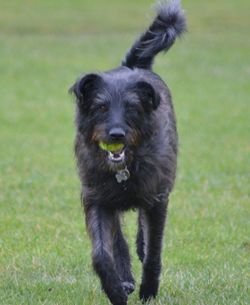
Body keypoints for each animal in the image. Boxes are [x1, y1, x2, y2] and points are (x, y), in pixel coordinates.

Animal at [70, 0, 186, 304]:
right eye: (100, 107)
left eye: (132, 107)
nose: (116, 135)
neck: (125, 168)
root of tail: (132, 66)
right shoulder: (97, 200)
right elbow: (102, 253)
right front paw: (115, 288)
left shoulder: (157, 198)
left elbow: (154, 249)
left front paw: (149, 290)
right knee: (118, 239)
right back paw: (124, 277)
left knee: (143, 236)